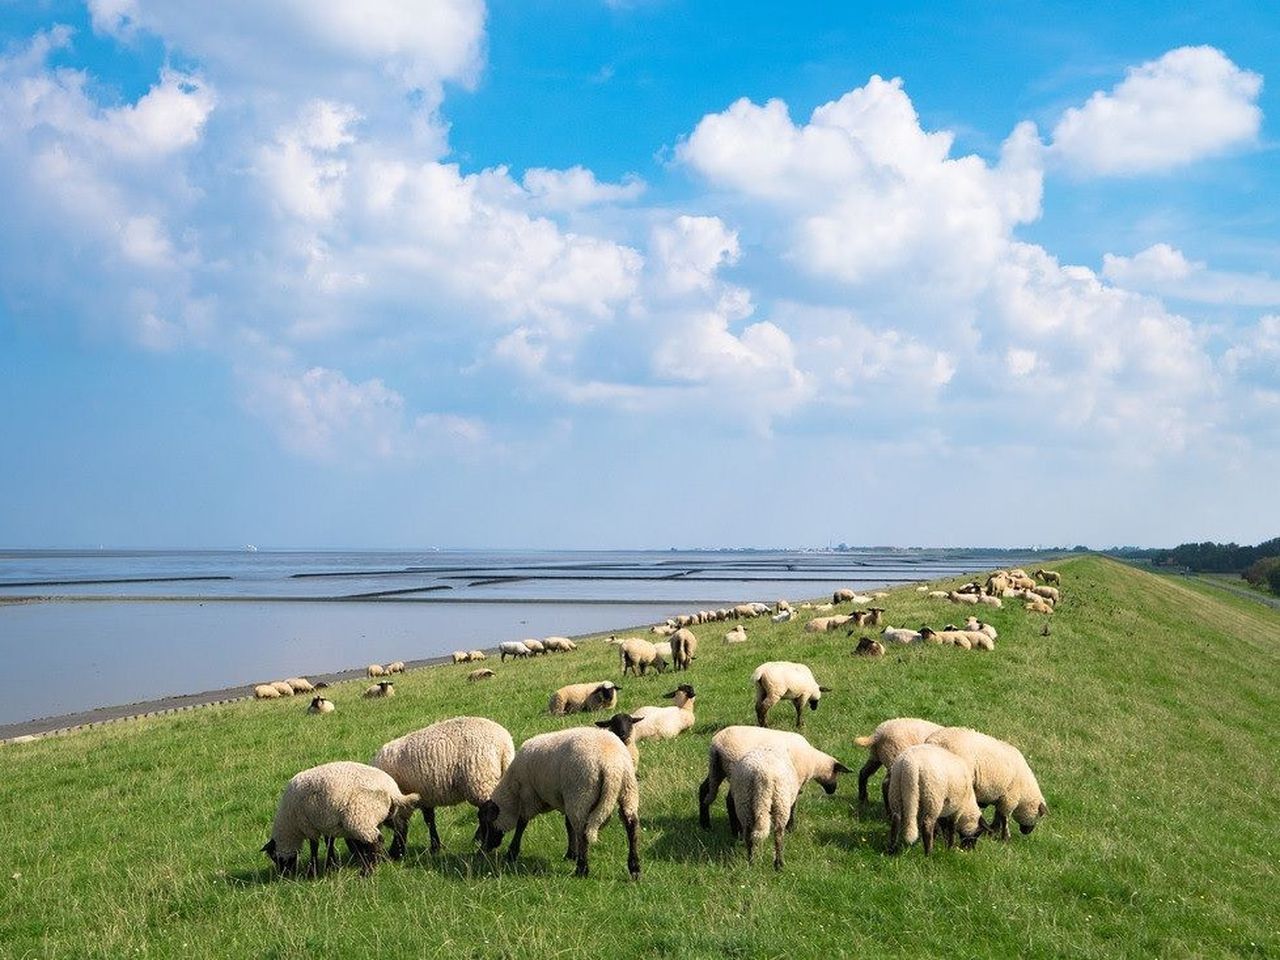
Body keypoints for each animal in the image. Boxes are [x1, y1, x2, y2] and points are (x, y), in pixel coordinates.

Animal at [259, 768, 419, 880]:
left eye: (274, 857)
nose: (283, 875)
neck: (290, 826)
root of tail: (393, 790)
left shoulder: (308, 825)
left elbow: (314, 847)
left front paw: (313, 871)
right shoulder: (326, 823)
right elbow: (329, 842)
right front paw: (331, 865)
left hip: (360, 817)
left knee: (376, 840)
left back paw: (367, 872)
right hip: (389, 813)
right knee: (400, 828)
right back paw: (395, 854)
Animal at [371, 716, 514, 860]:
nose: (393, 856)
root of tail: (504, 745)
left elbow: (404, 824)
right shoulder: (424, 796)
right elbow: (429, 820)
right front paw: (435, 847)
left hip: (481, 780)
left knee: (488, 814)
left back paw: (485, 846)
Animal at [476, 727, 640, 880]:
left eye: (486, 823)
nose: (481, 851)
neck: (513, 793)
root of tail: (611, 765)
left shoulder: (529, 795)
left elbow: (522, 823)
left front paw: (511, 853)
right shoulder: (565, 798)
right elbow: (568, 826)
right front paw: (571, 854)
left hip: (581, 793)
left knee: (583, 831)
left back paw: (582, 869)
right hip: (627, 790)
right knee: (631, 826)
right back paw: (635, 868)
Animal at [701, 727, 849, 834]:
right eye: (836, 773)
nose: (832, 791)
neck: (812, 761)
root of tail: (717, 745)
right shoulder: (795, 781)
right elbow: (792, 804)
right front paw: (790, 827)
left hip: (717, 770)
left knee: (703, 789)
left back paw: (705, 824)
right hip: (736, 773)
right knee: (730, 801)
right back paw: (736, 833)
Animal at [732, 747, 798, 875]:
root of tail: (761, 774)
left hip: (744, 801)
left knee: (748, 835)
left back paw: (751, 862)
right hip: (780, 802)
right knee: (778, 835)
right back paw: (779, 864)